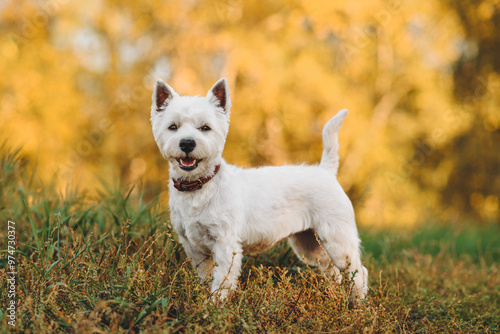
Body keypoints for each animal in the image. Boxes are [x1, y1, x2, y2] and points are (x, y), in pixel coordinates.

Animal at [148, 77, 368, 300]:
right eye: (173, 126)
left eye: (205, 128)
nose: (187, 143)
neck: (200, 186)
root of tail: (326, 171)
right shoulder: (193, 247)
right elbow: (206, 277)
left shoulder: (226, 243)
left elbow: (221, 282)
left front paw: (215, 305)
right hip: (309, 243)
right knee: (332, 270)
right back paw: (335, 298)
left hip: (336, 238)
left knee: (357, 271)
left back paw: (358, 304)